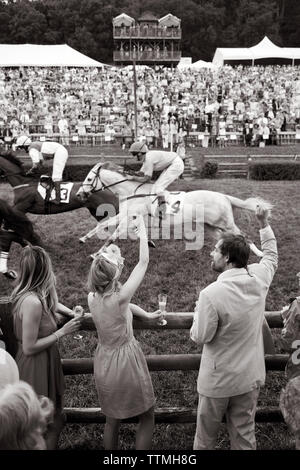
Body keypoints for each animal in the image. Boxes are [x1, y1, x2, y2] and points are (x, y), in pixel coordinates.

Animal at [75, 162, 272, 258]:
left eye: (89, 178)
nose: (78, 194)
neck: (131, 192)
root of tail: (224, 197)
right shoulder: (125, 216)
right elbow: (101, 226)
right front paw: (83, 239)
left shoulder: (129, 218)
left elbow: (112, 236)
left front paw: (96, 254)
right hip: (209, 224)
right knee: (221, 237)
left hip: (227, 223)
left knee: (244, 236)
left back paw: (260, 254)